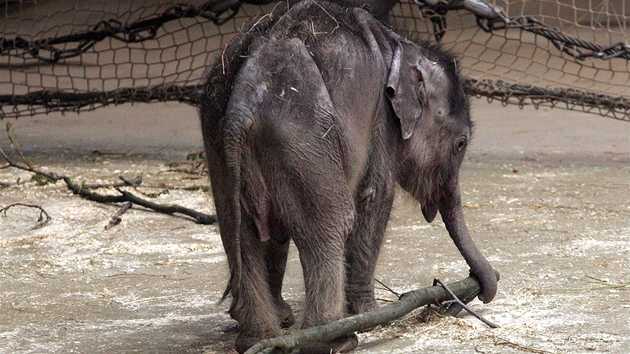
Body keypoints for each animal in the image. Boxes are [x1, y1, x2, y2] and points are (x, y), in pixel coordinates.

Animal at [201, 0, 498, 352]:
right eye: (460, 144)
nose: (481, 284)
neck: (401, 42)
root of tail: (243, 102)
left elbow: (273, 230)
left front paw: (285, 318)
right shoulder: (381, 121)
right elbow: (376, 196)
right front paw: (371, 313)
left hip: (222, 143)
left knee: (241, 233)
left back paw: (259, 338)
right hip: (303, 136)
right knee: (330, 224)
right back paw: (334, 337)